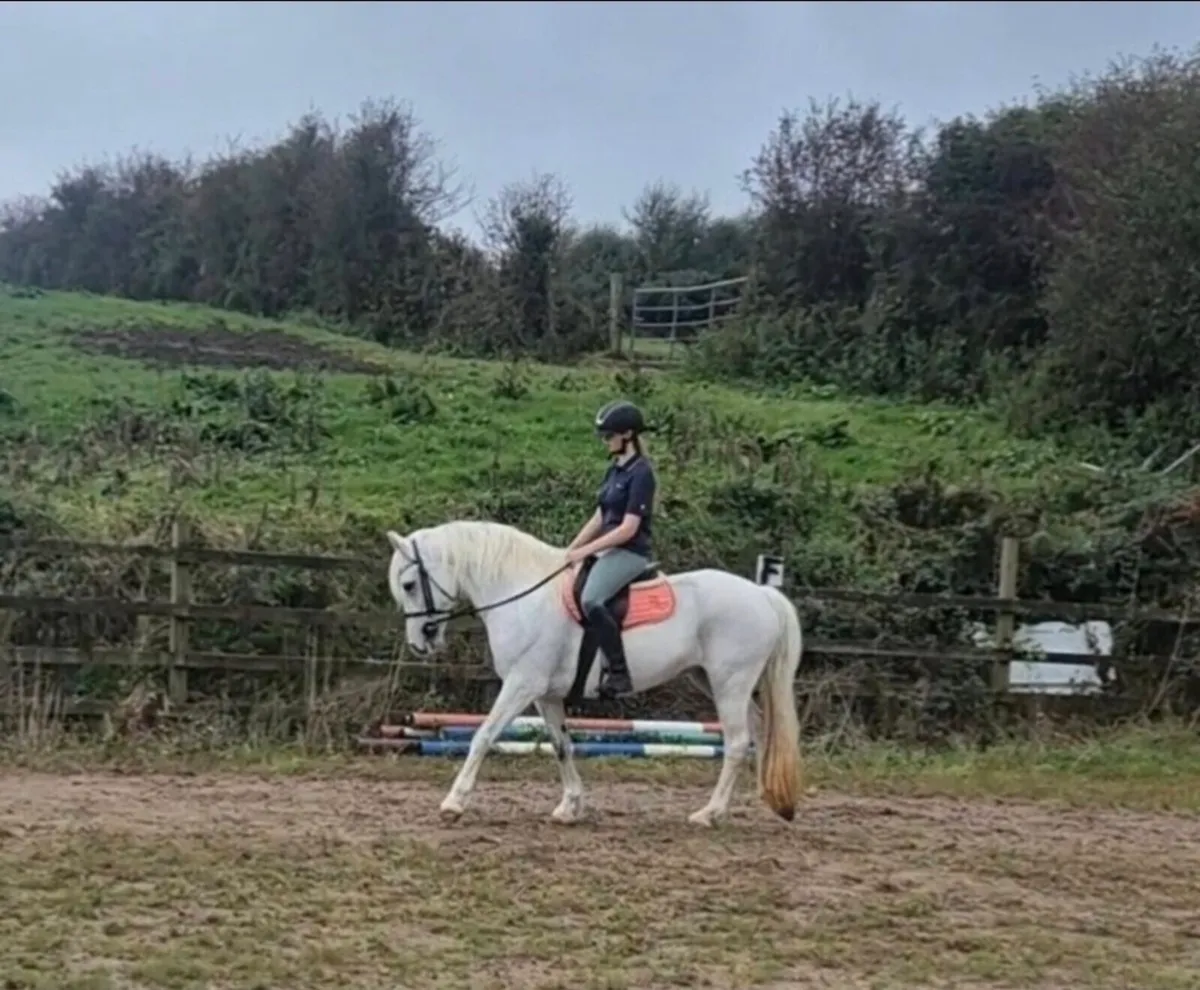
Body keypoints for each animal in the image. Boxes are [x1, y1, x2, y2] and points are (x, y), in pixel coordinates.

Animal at [385, 519, 805, 827]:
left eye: (409, 584)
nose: (419, 644)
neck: (523, 596)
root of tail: (762, 594)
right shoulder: (544, 694)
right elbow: (562, 745)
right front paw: (570, 807)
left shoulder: (522, 684)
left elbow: (483, 736)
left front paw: (453, 803)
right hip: (717, 681)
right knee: (759, 731)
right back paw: (767, 801)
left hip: (730, 684)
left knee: (736, 742)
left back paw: (709, 813)